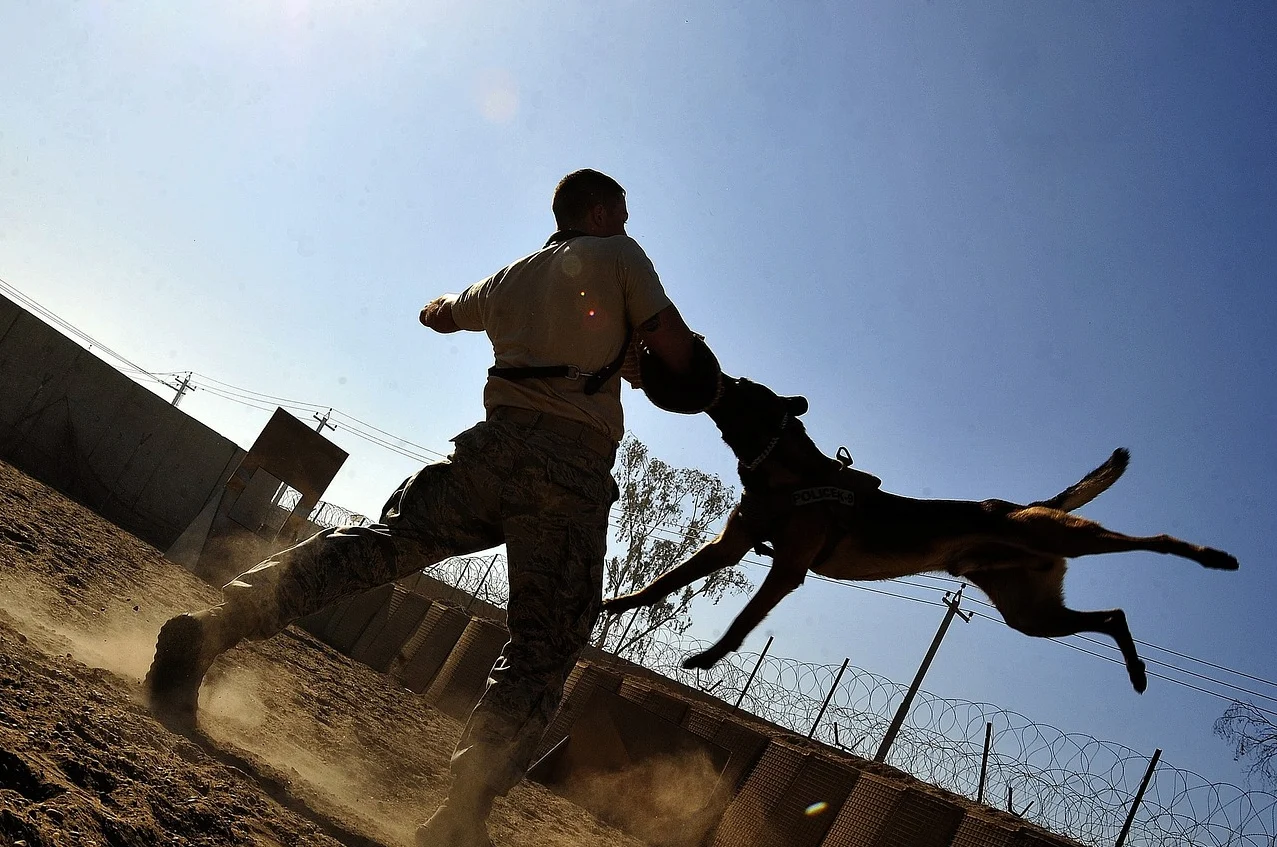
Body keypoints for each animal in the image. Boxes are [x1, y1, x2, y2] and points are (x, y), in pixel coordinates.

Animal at [602, 375, 1241, 694]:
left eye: (740, 388)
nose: (710, 369)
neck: (787, 471)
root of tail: (1030, 506)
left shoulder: (787, 568)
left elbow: (741, 622)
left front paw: (709, 657)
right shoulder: (728, 547)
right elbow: (662, 584)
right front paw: (615, 603)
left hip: (1063, 540)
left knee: (1151, 541)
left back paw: (1212, 556)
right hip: (1030, 614)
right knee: (1112, 614)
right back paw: (1136, 671)